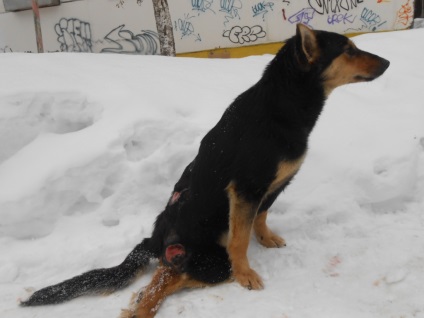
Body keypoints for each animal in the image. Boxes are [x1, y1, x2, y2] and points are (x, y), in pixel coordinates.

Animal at [20, 25, 390, 318]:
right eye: (349, 50)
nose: (388, 63)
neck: (282, 104)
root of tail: (154, 240)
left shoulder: (271, 187)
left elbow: (261, 217)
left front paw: (266, 239)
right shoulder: (245, 189)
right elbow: (240, 239)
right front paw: (246, 275)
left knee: (160, 278)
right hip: (209, 261)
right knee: (167, 278)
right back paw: (143, 309)